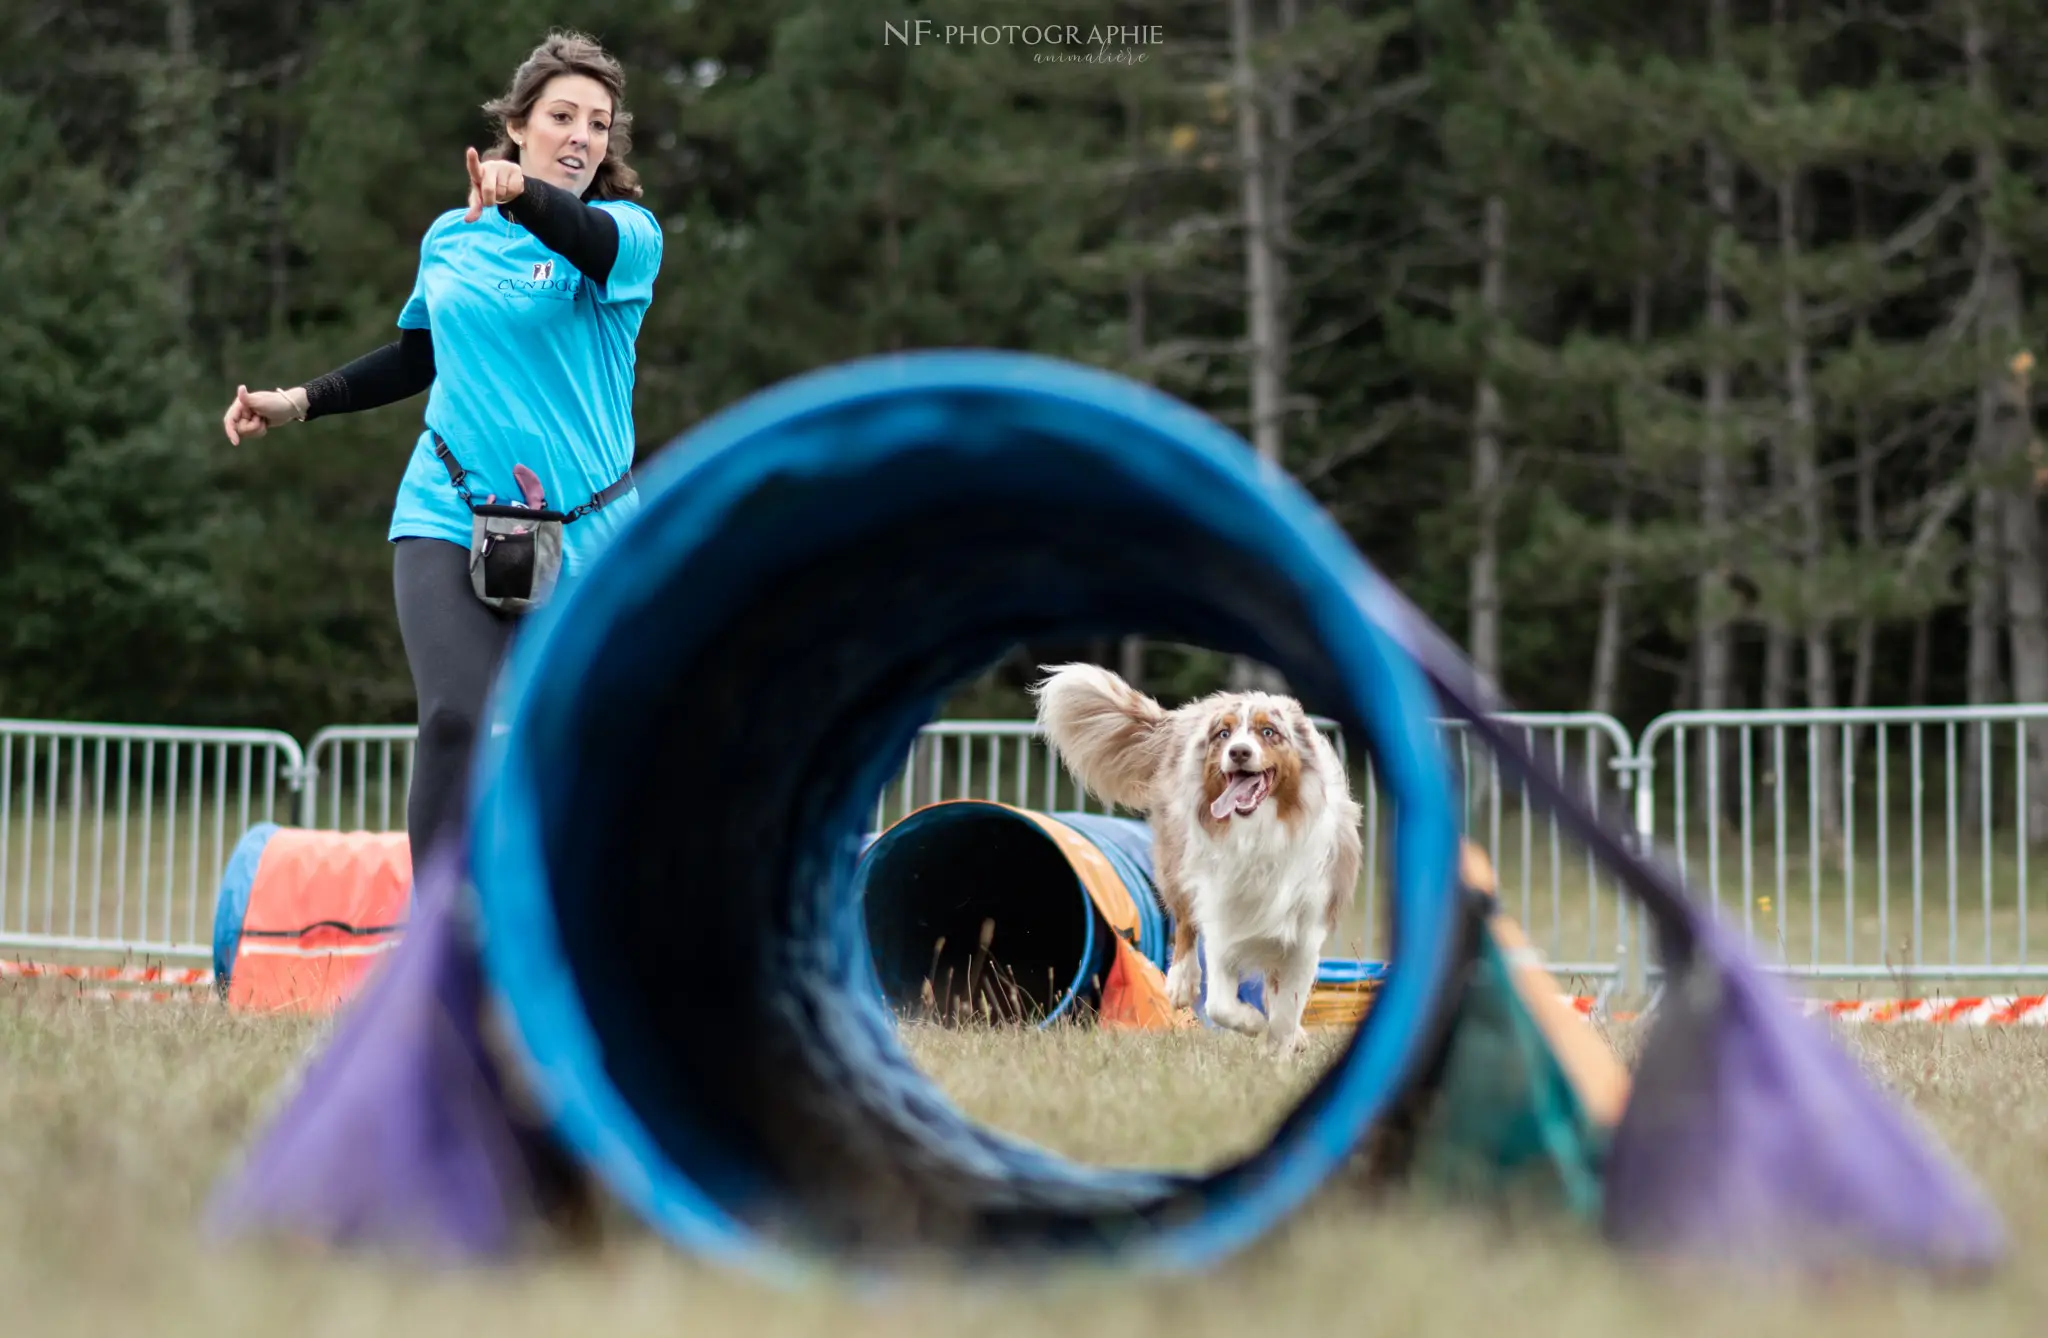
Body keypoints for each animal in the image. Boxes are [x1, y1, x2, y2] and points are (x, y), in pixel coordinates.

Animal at [1024, 663, 1359, 1049]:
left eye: (1269, 732)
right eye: (1225, 734)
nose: (1238, 752)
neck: (1258, 833)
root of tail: (1189, 713)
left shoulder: (1305, 931)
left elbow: (1287, 1009)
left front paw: (1283, 1043)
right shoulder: (1223, 913)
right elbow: (1220, 1005)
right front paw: (1253, 1023)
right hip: (1177, 859)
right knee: (1184, 921)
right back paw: (1181, 983)